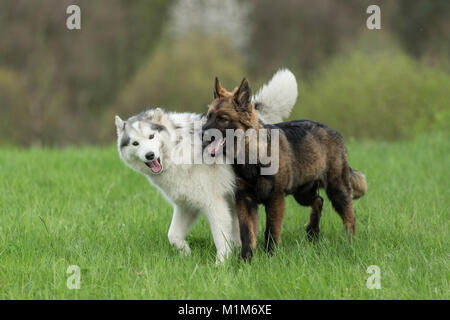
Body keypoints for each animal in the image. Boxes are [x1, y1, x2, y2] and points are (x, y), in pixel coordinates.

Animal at [116, 69, 298, 262]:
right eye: (135, 143)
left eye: (151, 136)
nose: (149, 155)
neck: (178, 149)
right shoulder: (187, 206)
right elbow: (173, 236)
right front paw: (186, 254)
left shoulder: (215, 206)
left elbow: (220, 240)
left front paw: (221, 264)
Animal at [202, 78, 368, 262]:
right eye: (208, 116)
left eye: (223, 119)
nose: (201, 134)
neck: (251, 155)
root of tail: (334, 132)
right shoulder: (245, 200)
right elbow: (247, 233)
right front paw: (245, 260)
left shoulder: (275, 199)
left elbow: (271, 231)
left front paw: (270, 256)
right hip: (302, 193)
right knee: (318, 201)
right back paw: (312, 233)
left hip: (337, 190)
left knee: (349, 216)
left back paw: (350, 243)